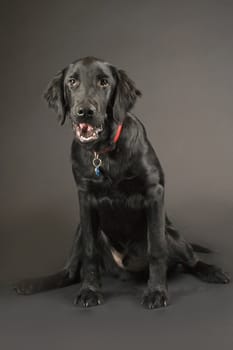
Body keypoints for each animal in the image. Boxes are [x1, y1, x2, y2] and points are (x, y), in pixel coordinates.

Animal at [15, 56, 229, 308]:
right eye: (72, 82)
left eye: (104, 82)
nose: (84, 112)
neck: (103, 152)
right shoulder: (85, 198)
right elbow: (89, 252)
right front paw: (90, 290)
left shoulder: (154, 192)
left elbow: (157, 249)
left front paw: (156, 291)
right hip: (79, 228)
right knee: (69, 272)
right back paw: (32, 284)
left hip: (173, 235)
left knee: (189, 260)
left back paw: (212, 271)